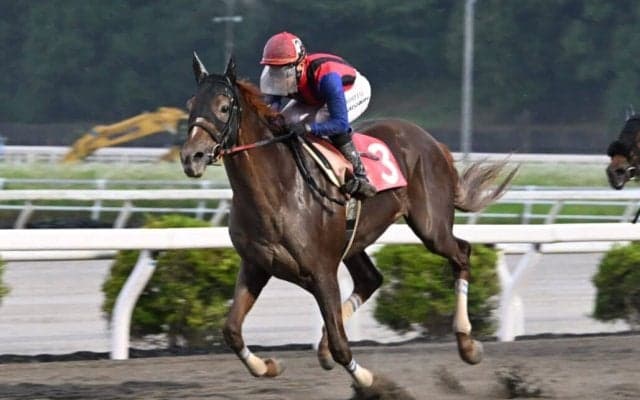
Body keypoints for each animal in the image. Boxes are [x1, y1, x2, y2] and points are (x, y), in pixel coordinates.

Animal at [180, 54, 517, 394]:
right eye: (191, 103)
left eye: (224, 107)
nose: (191, 157)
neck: (277, 190)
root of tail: (433, 142)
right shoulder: (256, 265)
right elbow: (231, 331)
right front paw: (269, 365)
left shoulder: (321, 271)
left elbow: (342, 345)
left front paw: (371, 382)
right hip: (354, 238)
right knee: (370, 279)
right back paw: (323, 347)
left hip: (431, 226)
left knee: (461, 253)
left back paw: (467, 343)